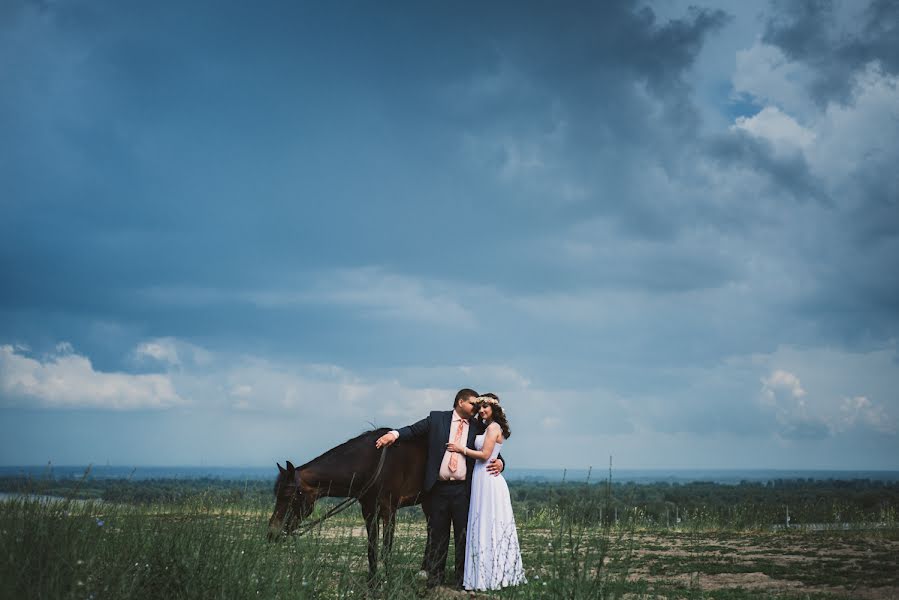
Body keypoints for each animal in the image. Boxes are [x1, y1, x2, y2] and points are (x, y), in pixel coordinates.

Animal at [268, 428, 428, 580]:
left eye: (288, 496)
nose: (272, 533)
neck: (373, 464)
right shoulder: (369, 510)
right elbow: (372, 549)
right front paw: (372, 581)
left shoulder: (389, 510)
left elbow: (386, 550)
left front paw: (386, 582)